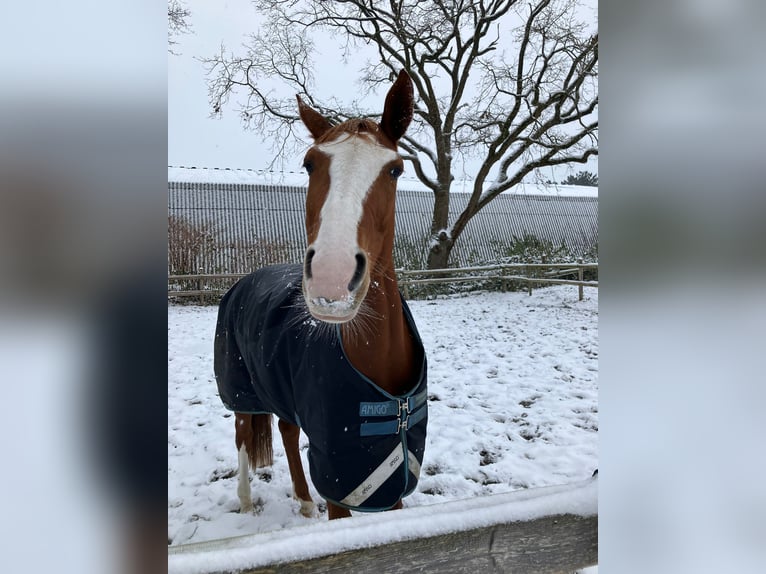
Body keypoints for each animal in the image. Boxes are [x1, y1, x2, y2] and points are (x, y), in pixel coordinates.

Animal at [213, 70, 428, 520]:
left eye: (395, 169)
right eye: (309, 163)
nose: (332, 278)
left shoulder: (393, 486)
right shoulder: (340, 488)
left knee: (286, 428)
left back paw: (303, 500)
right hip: (239, 388)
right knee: (243, 432)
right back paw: (246, 502)